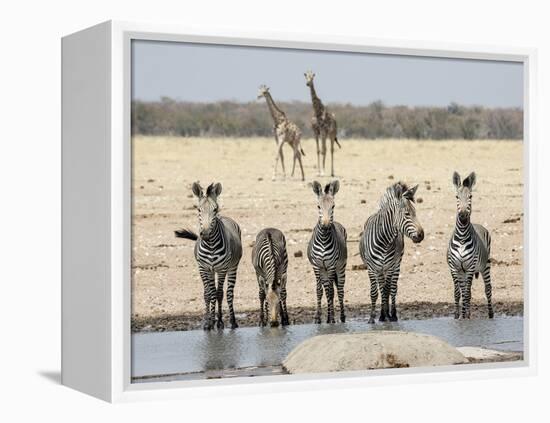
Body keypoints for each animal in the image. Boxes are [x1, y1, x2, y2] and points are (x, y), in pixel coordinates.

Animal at [175, 182, 244, 332]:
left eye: (215, 209)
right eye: (198, 209)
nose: (205, 234)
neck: (211, 245)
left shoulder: (222, 269)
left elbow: (218, 294)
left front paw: (218, 322)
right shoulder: (203, 268)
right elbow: (209, 294)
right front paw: (209, 322)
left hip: (232, 267)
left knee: (228, 294)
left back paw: (232, 321)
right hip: (211, 271)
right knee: (211, 293)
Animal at [308, 180, 348, 324]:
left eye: (333, 206)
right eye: (318, 206)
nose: (325, 226)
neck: (324, 239)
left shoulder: (331, 265)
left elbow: (331, 291)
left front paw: (331, 319)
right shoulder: (316, 265)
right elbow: (319, 291)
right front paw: (318, 318)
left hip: (340, 267)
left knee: (339, 290)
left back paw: (340, 317)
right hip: (323, 270)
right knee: (327, 290)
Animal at [362, 182, 426, 324]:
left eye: (416, 213)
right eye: (407, 214)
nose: (421, 235)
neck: (384, 241)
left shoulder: (391, 266)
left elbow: (387, 291)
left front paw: (386, 315)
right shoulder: (373, 268)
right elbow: (375, 292)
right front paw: (374, 317)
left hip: (396, 265)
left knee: (392, 288)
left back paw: (393, 315)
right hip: (378, 269)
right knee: (382, 289)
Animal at [448, 171, 496, 320]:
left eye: (470, 196)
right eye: (456, 197)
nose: (463, 216)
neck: (462, 237)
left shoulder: (470, 267)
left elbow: (466, 294)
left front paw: (464, 317)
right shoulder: (454, 268)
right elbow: (458, 293)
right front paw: (457, 316)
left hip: (485, 265)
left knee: (488, 289)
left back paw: (490, 314)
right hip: (463, 271)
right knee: (466, 290)